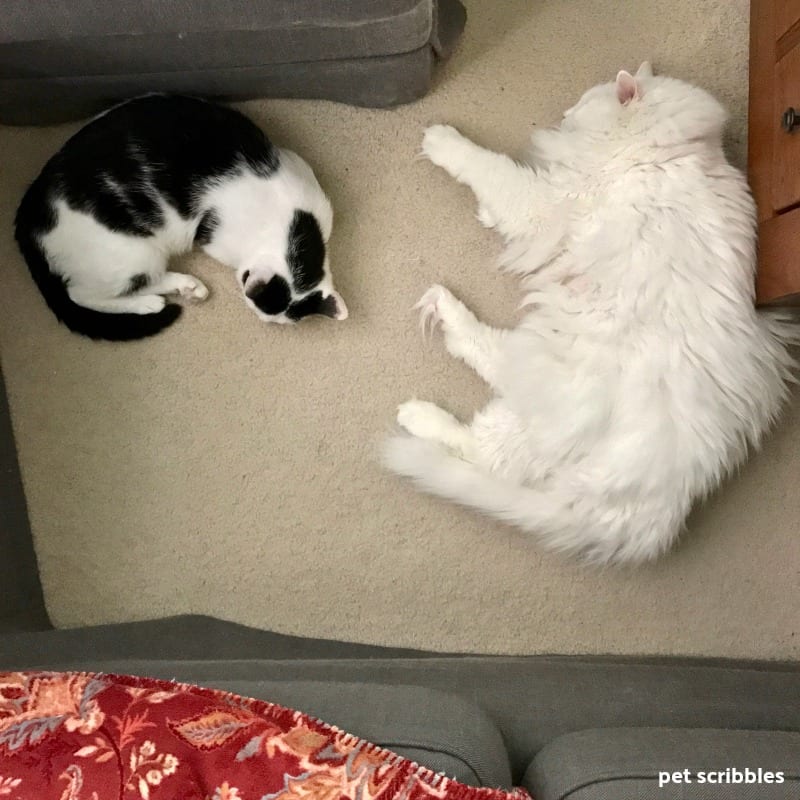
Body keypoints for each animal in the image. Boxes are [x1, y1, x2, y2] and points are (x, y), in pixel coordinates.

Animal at [14, 94, 346, 340]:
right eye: (256, 304)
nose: (256, 309)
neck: (296, 227)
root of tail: (30, 206)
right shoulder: (217, 237)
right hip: (134, 252)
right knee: (81, 294)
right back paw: (150, 303)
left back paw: (185, 287)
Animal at [384, 62, 796, 564]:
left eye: (581, 104)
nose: (563, 114)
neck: (667, 148)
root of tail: (666, 498)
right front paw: (485, 213)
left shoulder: (544, 202)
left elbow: (491, 169)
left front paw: (442, 140)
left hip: (548, 363)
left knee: (484, 433)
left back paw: (425, 383)